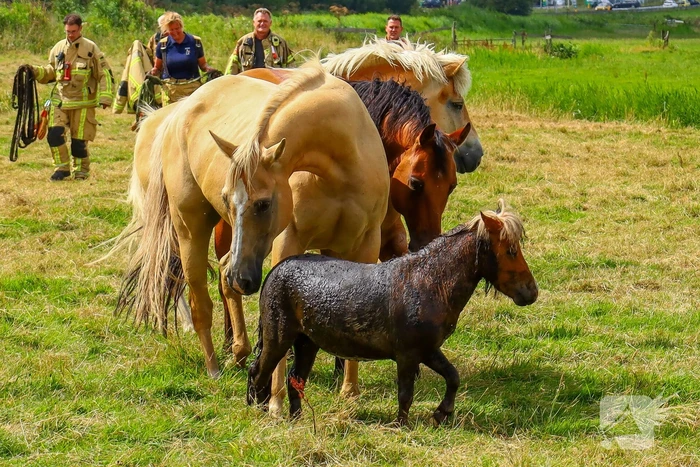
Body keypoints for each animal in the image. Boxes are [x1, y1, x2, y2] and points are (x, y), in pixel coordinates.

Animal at [116, 63, 390, 392]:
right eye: (226, 198)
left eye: (263, 204)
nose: (241, 278)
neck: (342, 160)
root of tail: (179, 111)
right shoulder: (288, 244)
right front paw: (276, 395)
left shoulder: (364, 244)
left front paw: (349, 391)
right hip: (191, 232)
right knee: (201, 301)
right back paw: (214, 368)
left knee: (223, 272)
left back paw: (240, 351)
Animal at [248, 200, 538, 425]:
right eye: (511, 250)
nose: (531, 292)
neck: (428, 280)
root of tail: (275, 271)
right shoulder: (408, 355)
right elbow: (406, 394)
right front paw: (402, 425)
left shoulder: (428, 350)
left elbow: (453, 377)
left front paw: (442, 414)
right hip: (278, 338)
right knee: (259, 373)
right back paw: (260, 412)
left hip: (307, 343)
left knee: (295, 379)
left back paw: (297, 420)